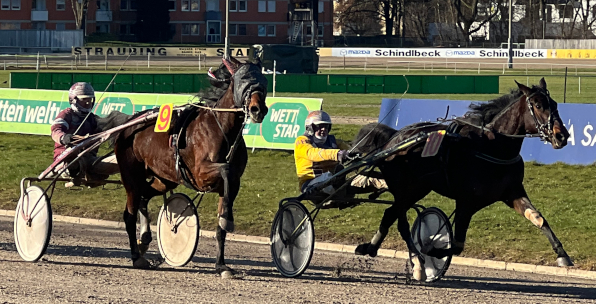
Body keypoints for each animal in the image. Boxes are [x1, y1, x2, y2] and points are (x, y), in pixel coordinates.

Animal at [112, 55, 270, 276]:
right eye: (243, 80)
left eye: (263, 81)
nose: (258, 109)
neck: (222, 129)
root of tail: (129, 122)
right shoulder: (200, 174)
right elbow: (226, 169)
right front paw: (227, 220)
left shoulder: (230, 186)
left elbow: (221, 225)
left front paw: (221, 265)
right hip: (131, 176)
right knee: (129, 214)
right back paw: (136, 257)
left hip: (165, 178)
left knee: (144, 196)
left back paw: (144, 239)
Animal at [354, 79, 572, 282]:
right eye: (538, 105)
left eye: (554, 104)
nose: (562, 136)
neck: (492, 147)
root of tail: (394, 137)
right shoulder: (466, 201)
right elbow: (457, 245)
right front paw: (432, 250)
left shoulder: (512, 192)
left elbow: (538, 218)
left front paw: (562, 255)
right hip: (405, 188)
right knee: (401, 222)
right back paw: (418, 264)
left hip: (418, 188)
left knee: (390, 213)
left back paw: (371, 247)